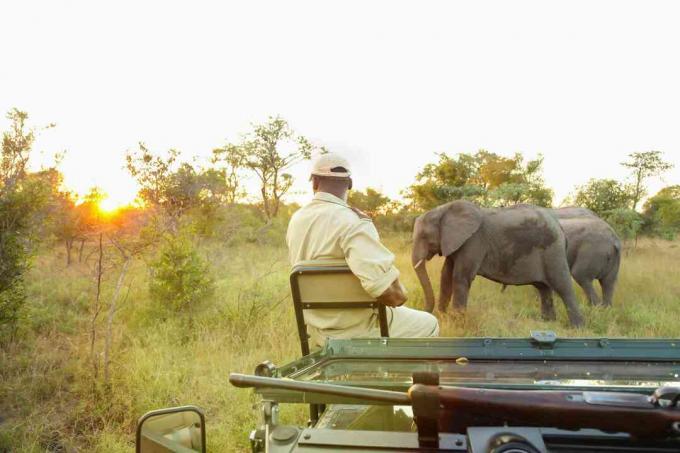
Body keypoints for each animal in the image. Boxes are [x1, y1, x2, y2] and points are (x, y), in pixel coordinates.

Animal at [412, 200, 588, 324]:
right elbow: (446, 276)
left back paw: (577, 327)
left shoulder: (473, 241)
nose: (426, 312)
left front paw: (457, 322)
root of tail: (561, 229)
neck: (443, 209)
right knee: (543, 288)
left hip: (553, 250)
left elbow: (460, 277)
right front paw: (443, 319)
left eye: (424, 236)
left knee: (563, 286)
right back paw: (547, 323)